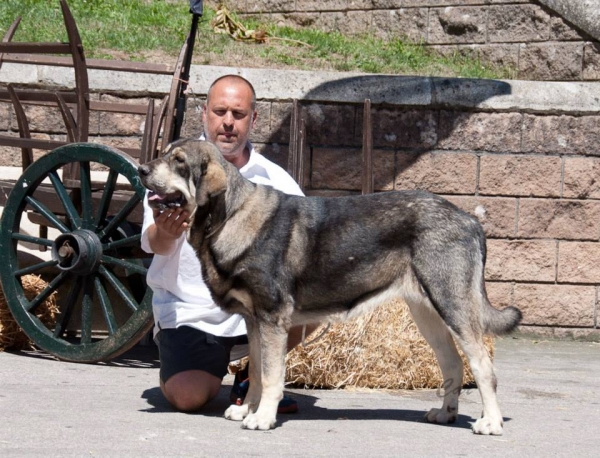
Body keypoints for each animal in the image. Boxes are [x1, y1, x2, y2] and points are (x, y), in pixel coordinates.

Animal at [139, 139, 520, 432]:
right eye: (165, 153)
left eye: (178, 161)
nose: (141, 169)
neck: (228, 217)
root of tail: (470, 219)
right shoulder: (256, 321)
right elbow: (258, 372)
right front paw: (248, 408)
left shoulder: (272, 318)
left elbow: (272, 376)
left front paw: (262, 418)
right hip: (428, 314)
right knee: (453, 365)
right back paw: (444, 413)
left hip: (453, 307)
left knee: (483, 367)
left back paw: (490, 423)